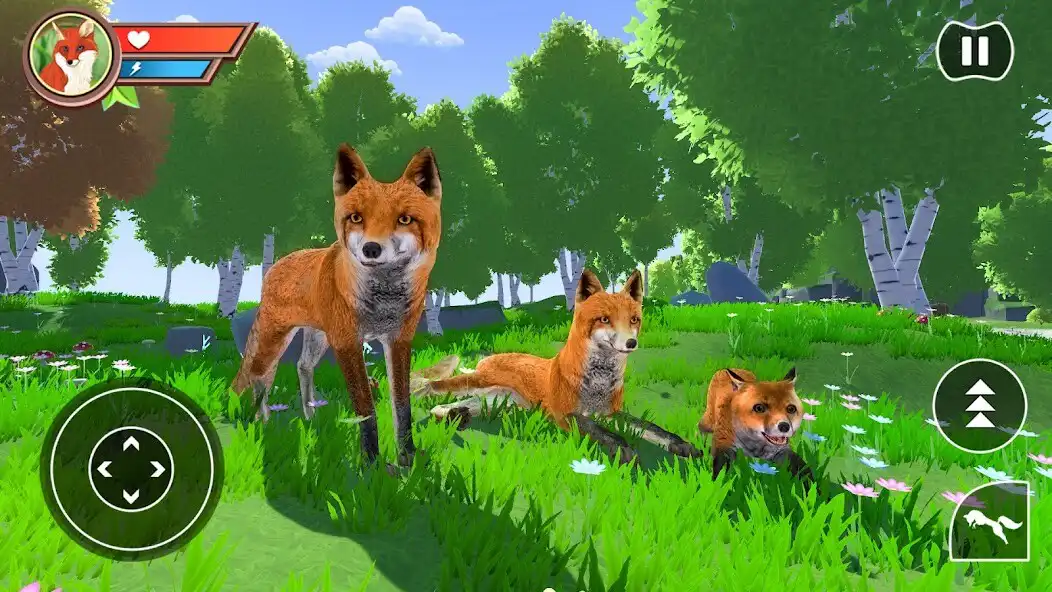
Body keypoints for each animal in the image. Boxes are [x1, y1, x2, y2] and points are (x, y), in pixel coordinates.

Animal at [232, 144, 441, 467]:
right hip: (275, 340)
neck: (383, 301)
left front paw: (407, 459)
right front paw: (372, 465)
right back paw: (263, 422)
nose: (371, 248)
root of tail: (277, 264)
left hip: (318, 338)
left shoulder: (398, 341)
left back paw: (310, 417)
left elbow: (401, 406)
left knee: (302, 367)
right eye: (356, 217)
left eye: (404, 220)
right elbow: (366, 409)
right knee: (260, 375)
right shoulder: (347, 343)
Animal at [417, 269, 703, 464]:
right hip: (478, 385)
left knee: (453, 405)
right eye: (604, 319)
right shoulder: (565, 413)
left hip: (504, 402)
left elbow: (655, 429)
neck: (598, 383)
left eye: (634, 320)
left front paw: (683, 446)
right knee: (432, 388)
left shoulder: (609, 412)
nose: (631, 343)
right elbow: (606, 433)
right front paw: (625, 451)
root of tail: (489, 357)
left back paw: (453, 416)